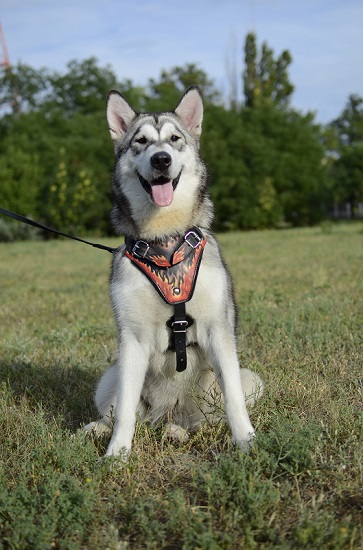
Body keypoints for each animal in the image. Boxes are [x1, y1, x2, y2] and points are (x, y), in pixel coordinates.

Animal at [84, 85, 264, 458]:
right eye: (140, 141)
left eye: (174, 139)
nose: (161, 160)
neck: (165, 243)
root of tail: (168, 413)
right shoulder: (133, 339)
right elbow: (124, 411)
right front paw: (116, 455)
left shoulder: (218, 330)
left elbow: (234, 401)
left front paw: (247, 443)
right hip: (110, 376)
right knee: (121, 410)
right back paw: (98, 430)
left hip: (247, 379)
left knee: (202, 419)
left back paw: (177, 432)